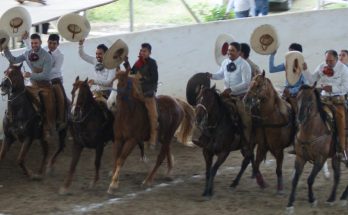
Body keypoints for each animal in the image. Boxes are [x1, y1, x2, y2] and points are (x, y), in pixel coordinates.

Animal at [284, 83, 346, 213]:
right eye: (297, 98)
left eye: (310, 100)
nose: (300, 118)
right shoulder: (300, 157)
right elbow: (295, 180)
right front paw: (290, 204)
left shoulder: (320, 159)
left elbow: (310, 179)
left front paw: (312, 200)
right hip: (336, 157)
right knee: (337, 175)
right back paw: (331, 199)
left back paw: (343, 197)